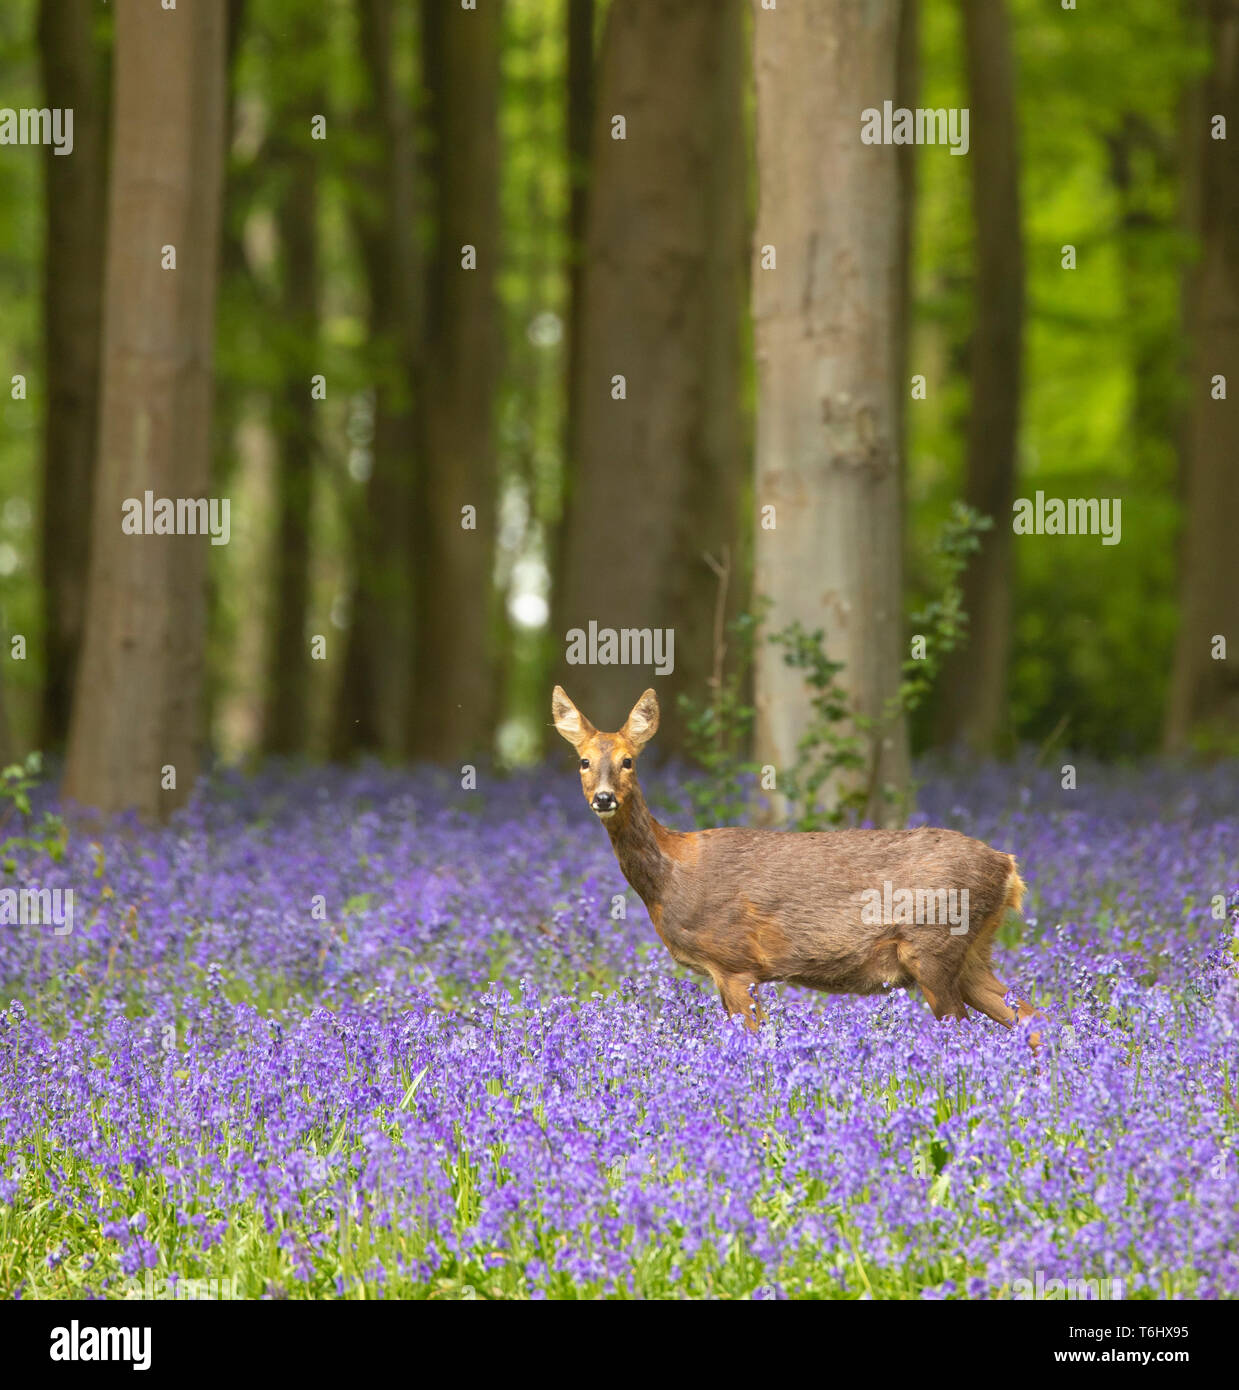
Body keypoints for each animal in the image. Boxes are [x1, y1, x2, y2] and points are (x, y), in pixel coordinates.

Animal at [553, 683, 1034, 1045]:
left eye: (628, 761)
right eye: (584, 761)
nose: (604, 798)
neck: (672, 875)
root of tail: (1008, 867)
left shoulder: (735, 961)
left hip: (933, 945)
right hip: (971, 952)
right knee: (1034, 1018)